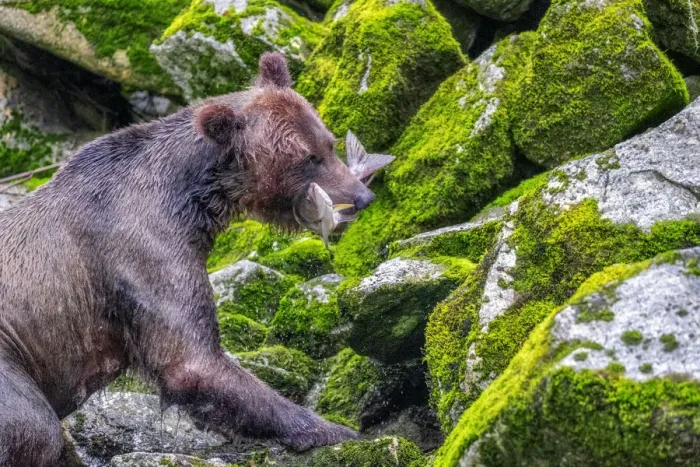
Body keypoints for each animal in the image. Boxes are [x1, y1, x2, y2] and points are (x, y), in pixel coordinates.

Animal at [0, 53, 376, 466]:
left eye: (329, 142)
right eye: (308, 158)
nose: (361, 196)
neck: (193, 199)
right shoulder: (142, 253)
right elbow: (192, 362)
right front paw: (334, 429)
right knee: (37, 426)